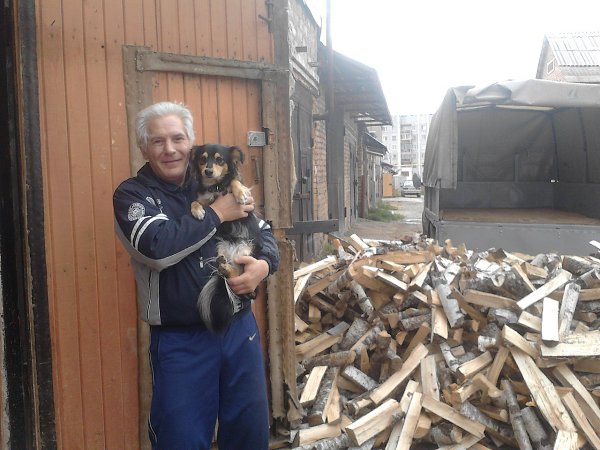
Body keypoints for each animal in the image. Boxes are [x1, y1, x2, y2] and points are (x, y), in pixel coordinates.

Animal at [189, 144, 263, 332]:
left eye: (219, 160)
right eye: (202, 159)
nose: (208, 171)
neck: (215, 187)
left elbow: (234, 181)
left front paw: (240, 193)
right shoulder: (206, 201)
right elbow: (195, 201)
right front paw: (197, 211)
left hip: (247, 250)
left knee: (239, 274)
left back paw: (226, 268)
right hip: (221, 247)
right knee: (231, 273)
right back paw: (223, 266)